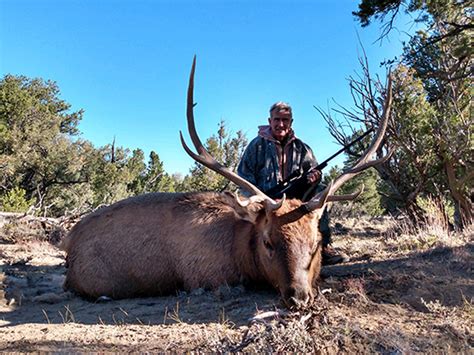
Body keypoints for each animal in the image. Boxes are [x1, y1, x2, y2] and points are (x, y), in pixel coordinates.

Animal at [61, 58, 390, 308]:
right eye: (268, 241)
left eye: (316, 244)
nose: (298, 296)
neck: (239, 248)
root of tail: (69, 243)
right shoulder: (204, 276)